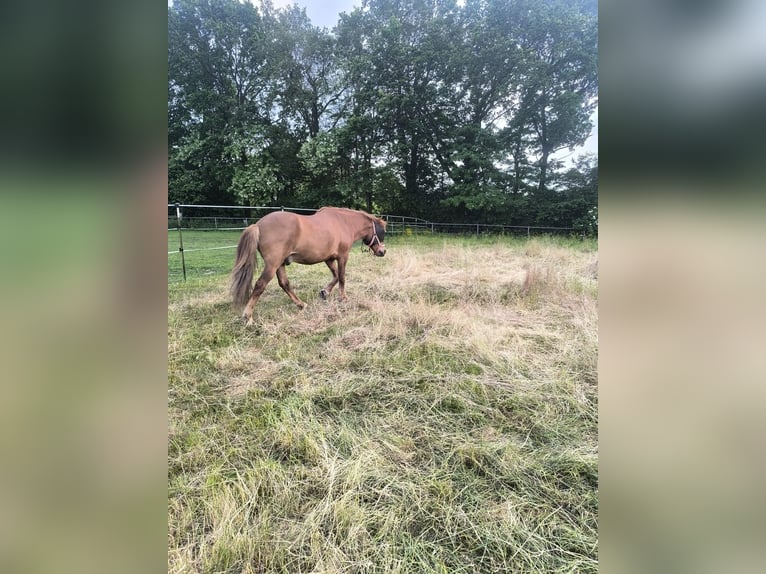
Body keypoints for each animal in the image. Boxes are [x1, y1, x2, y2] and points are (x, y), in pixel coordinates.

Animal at [230, 207, 387, 325]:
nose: (382, 252)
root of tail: (258, 225)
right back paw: (248, 317)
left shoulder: (328, 258)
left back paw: (301, 304)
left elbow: (336, 276)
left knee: (284, 283)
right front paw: (343, 298)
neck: (343, 223)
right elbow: (342, 277)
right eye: (381, 232)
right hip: (272, 265)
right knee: (260, 285)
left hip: (280, 264)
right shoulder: (342, 256)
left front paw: (325, 292)